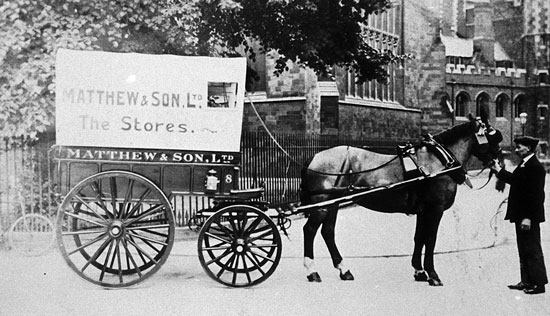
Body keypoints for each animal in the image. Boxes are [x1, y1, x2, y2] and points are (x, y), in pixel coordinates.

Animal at [302, 114, 504, 286]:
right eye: (492, 137)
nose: (499, 164)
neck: (440, 160)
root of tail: (315, 157)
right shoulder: (435, 209)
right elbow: (430, 239)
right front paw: (433, 274)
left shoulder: (423, 211)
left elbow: (419, 238)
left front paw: (419, 271)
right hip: (321, 204)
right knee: (310, 230)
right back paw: (312, 271)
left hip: (332, 204)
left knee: (327, 232)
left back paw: (344, 270)